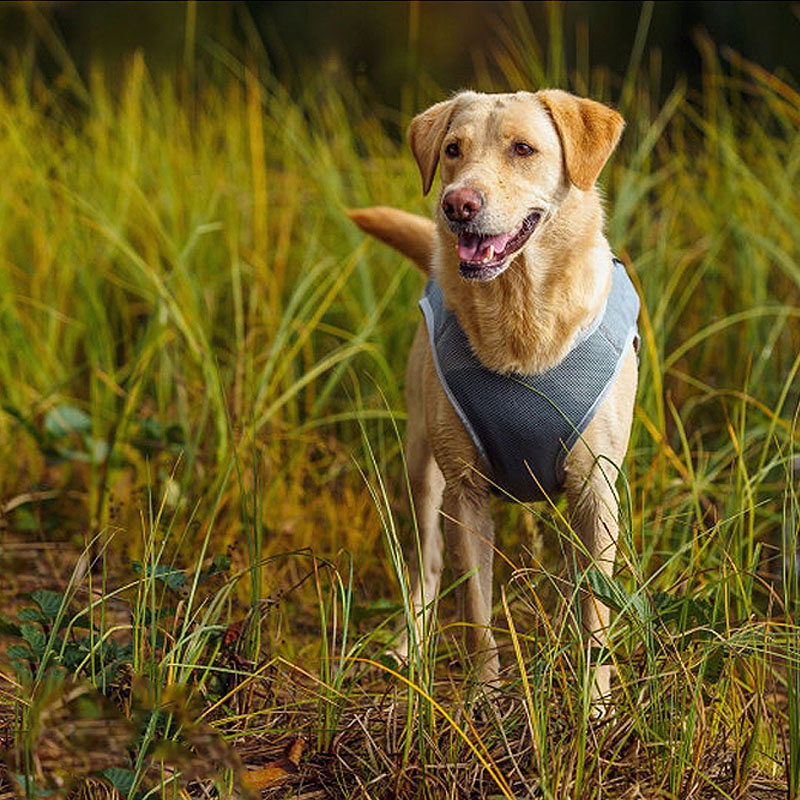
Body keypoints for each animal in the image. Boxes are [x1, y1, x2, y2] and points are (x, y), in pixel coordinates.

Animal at [346, 89, 640, 700]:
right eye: (453, 150)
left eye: (523, 149)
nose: (457, 204)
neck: (520, 314)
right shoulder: (467, 491)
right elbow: (478, 610)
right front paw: (485, 696)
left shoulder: (597, 490)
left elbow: (595, 613)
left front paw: (594, 704)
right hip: (421, 466)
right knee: (427, 564)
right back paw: (407, 645)